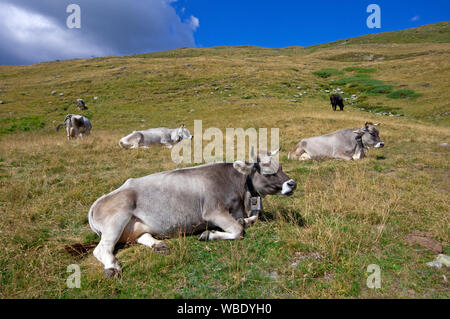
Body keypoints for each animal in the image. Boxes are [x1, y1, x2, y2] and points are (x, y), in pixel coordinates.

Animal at [88, 149, 298, 278]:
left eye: (281, 167)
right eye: (268, 172)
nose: (292, 183)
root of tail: (98, 202)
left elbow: (251, 219)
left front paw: (245, 221)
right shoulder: (213, 211)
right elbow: (238, 230)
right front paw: (209, 234)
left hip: (134, 226)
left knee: (140, 236)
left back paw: (159, 246)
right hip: (115, 222)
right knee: (101, 249)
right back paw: (112, 267)